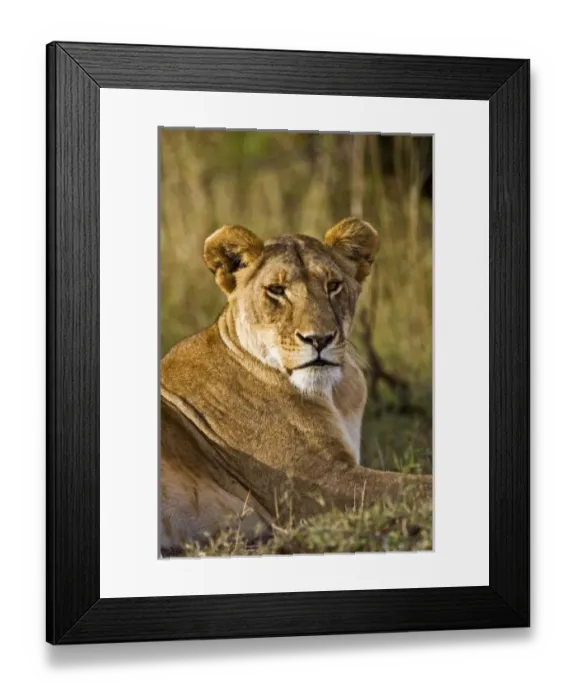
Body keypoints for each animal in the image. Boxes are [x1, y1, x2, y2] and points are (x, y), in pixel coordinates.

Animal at [160, 218, 431, 554]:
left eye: (333, 285)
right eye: (277, 290)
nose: (319, 339)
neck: (335, 394)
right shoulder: (320, 486)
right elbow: (419, 487)